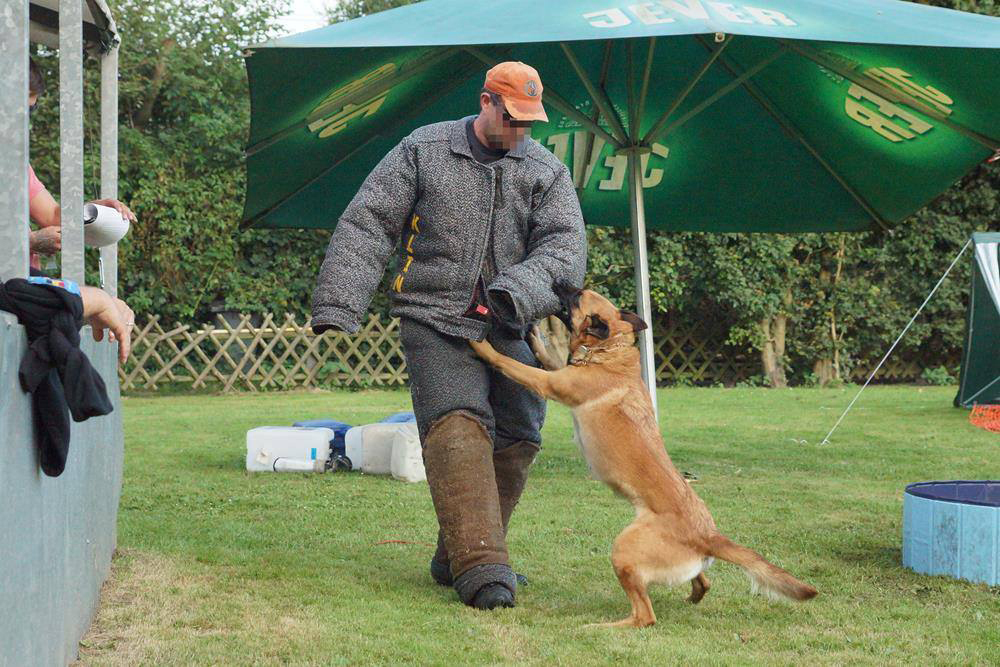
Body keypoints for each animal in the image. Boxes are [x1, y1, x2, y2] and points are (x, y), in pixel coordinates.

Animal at [466, 280, 812, 628]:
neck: (609, 349)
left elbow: (512, 364)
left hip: (623, 550)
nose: (560, 283)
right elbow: (548, 357)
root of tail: (707, 534)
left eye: (576, 296)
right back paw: (691, 596)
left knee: (645, 616)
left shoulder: (549, 382)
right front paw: (537, 339)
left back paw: (601, 626)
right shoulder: (559, 372)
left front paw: (480, 345)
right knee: (703, 582)